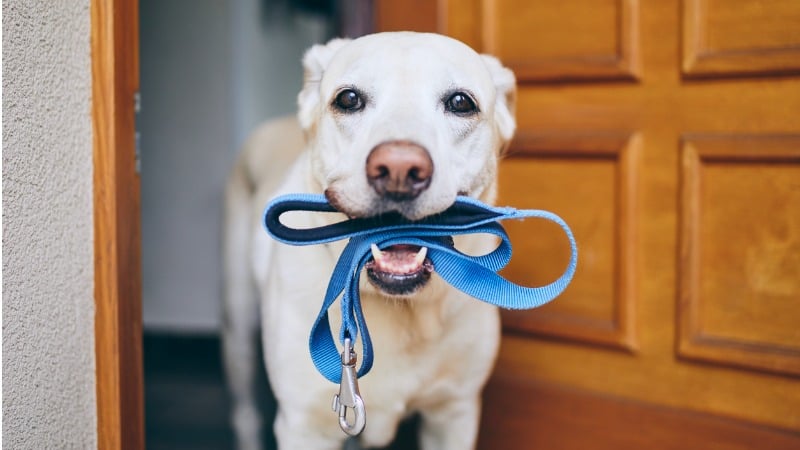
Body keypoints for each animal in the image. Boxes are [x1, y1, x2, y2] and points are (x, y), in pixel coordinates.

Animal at [222, 32, 516, 450]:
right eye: (348, 99)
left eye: (461, 103)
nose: (399, 169)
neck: (398, 308)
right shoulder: (304, 426)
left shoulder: (453, 413)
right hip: (238, 331)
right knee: (245, 413)